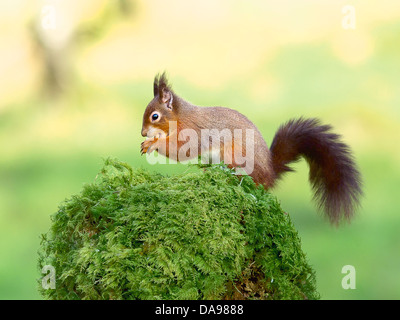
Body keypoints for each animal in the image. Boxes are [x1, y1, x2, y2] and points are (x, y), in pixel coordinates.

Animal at [141, 73, 362, 225]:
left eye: (155, 116)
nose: (143, 133)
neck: (181, 117)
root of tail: (270, 173)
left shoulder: (194, 132)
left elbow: (180, 150)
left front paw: (153, 144)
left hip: (234, 154)